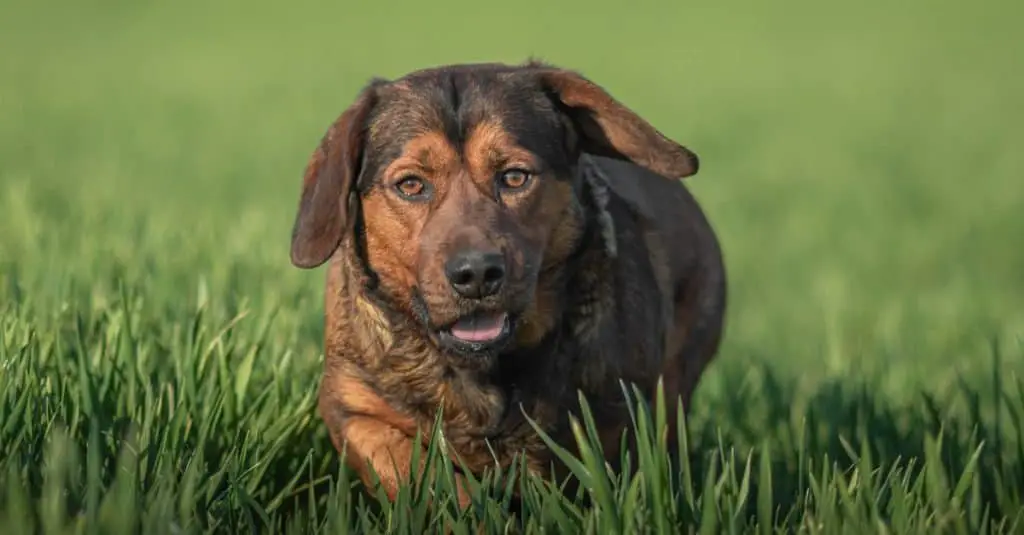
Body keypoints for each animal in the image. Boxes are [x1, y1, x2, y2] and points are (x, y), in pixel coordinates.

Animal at [288, 61, 729, 504]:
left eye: (515, 177)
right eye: (411, 185)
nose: (476, 274)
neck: (483, 370)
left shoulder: (625, 418)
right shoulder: (353, 407)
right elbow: (414, 472)